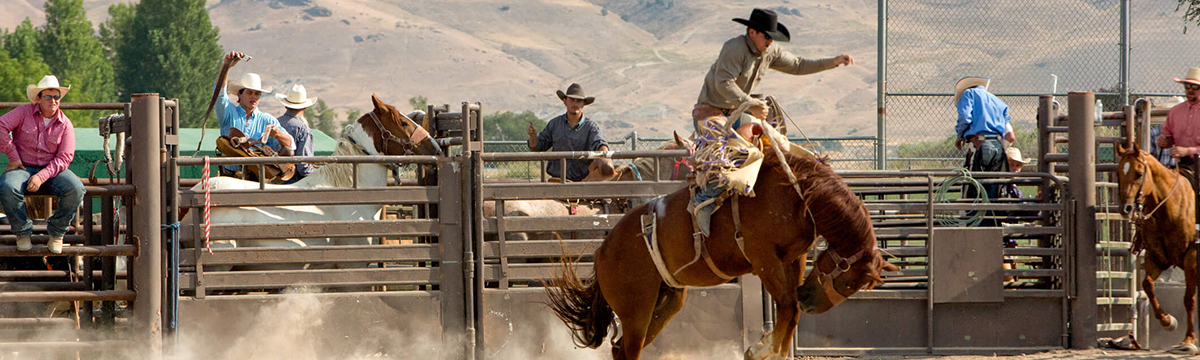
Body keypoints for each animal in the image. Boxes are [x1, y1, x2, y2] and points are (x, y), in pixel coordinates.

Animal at [549, 147, 897, 360]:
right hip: (635, 309)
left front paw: (771, 349)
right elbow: (786, 305)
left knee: (621, 348)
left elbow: (791, 310)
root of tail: (603, 251)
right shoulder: (763, 258)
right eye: (849, 282)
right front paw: (759, 350)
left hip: (665, 301)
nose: (811, 300)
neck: (798, 194)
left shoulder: (793, 258)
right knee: (628, 350)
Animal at [1108, 143, 1195, 355]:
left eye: (1139, 173)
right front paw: (1168, 321)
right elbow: (1147, 284)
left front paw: (1189, 340)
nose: (1125, 208)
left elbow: (1189, 299)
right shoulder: (1157, 257)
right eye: (1119, 172)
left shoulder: (1191, 257)